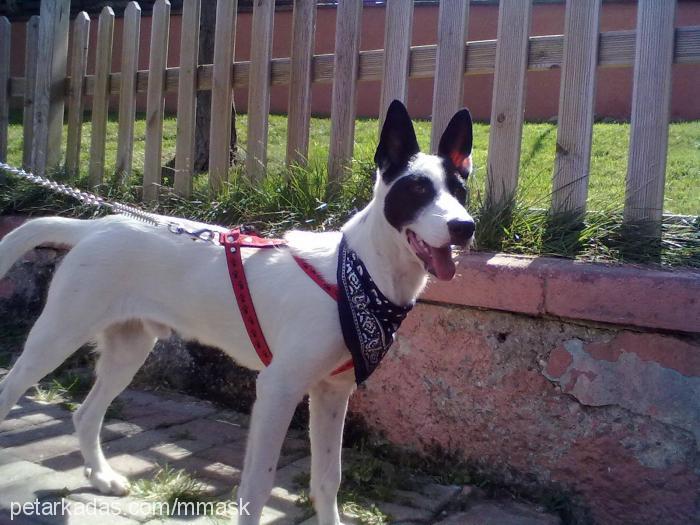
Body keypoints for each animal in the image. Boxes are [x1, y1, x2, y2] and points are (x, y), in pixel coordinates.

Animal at [0, 100, 476, 520]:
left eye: (460, 191)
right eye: (417, 189)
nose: (464, 227)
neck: (357, 272)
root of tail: (97, 225)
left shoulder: (332, 392)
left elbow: (327, 481)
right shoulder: (278, 389)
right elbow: (256, 487)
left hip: (128, 350)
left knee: (85, 413)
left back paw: (101, 477)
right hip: (57, 337)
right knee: (11, 388)